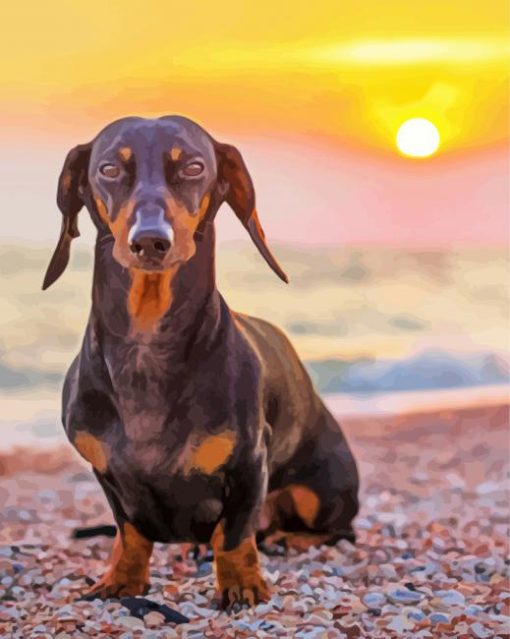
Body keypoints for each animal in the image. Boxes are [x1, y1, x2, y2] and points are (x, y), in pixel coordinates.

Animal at [42, 116, 358, 608]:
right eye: (110, 169)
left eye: (193, 166)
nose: (151, 241)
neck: (148, 346)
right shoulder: (107, 474)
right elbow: (130, 533)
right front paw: (122, 578)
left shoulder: (249, 464)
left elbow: (233, 534)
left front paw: (241, 584)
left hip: (322, 492)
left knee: (337, 531)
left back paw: (292, 538)